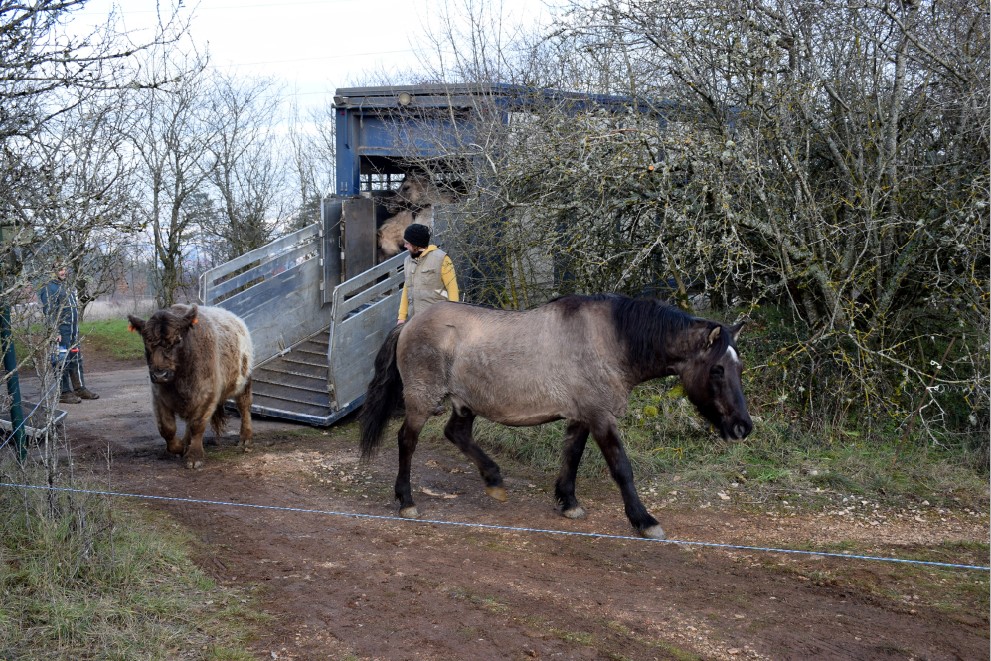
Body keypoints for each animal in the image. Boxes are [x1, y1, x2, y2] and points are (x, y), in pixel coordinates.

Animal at [128, 304, 254, 469]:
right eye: (147, 341)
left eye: (178, 340)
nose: (160, 375)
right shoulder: (159, 397)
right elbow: (167, 428)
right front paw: (180, 447)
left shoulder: (207, 394)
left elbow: (197, 425)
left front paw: (194, 456)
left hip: (244, 381)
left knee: (244, 406)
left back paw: (245, 437)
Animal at [359, 294, 753, 539]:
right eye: (717, 369)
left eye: (739, 367)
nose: (743, 427)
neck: (609, 341)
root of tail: (410, 322)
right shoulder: (600, 416)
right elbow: (621, 468)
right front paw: (644, 520)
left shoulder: (582, 415)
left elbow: (572, 456)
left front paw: (568, 502)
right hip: (422, 400)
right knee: (407, 441)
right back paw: (407, 501)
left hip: (464, 402)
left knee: (456, 434)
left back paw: (494, 480)